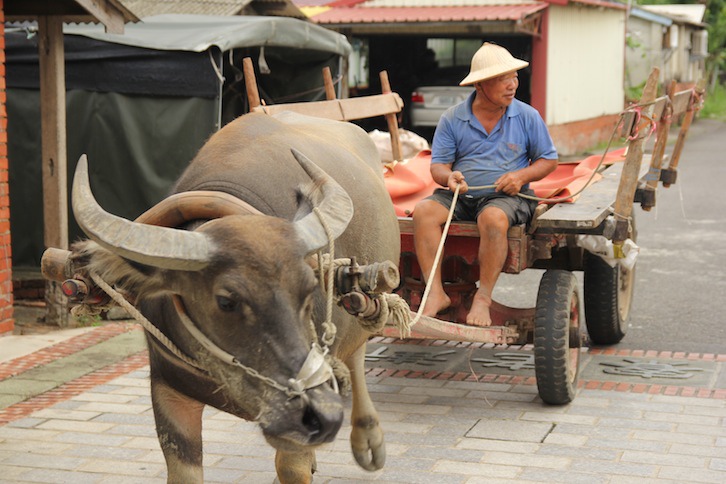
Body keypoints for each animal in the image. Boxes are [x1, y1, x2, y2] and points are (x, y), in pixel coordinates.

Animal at [65, 112, 400, 480]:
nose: (323, 417)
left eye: (308, 289)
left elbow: (291, 466)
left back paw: (368, 439)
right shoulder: (168, 391)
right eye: (226, 301)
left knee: (357, 357)